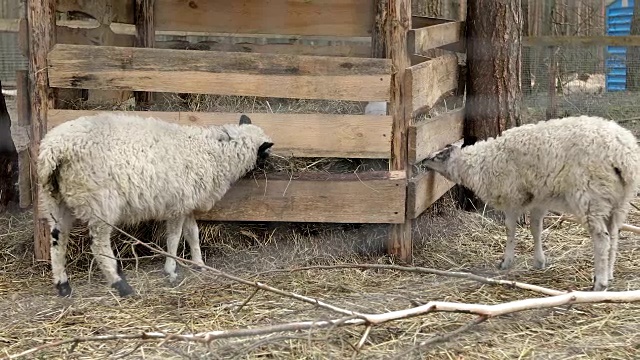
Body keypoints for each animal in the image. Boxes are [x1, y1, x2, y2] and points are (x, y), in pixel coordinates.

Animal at [37, 111, 272, 296]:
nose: (272, 167)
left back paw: (63, 286)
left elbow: (193, 234)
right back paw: (121, 285)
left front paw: (199, 264)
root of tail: (55, 150)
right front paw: (171, 270)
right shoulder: (178, 205)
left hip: (55, 200)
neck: (212, 151)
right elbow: (174, 238)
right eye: (266, 152)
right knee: (98, 245)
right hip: (100, 202)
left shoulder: (187, 203)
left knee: (58, 240)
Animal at [422, 116, 636, 292]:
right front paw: (539, 261)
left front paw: (506, 261)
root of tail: (623, 156)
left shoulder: (512, 197)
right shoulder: (538, 199)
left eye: (437, 156)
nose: (423, 162)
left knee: (602, 239)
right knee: (614, 235)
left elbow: (509, 229)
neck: (480, 164)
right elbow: (536, 228)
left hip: (591, 197)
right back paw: (609, 274)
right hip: (617, 201)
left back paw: (600, 282)